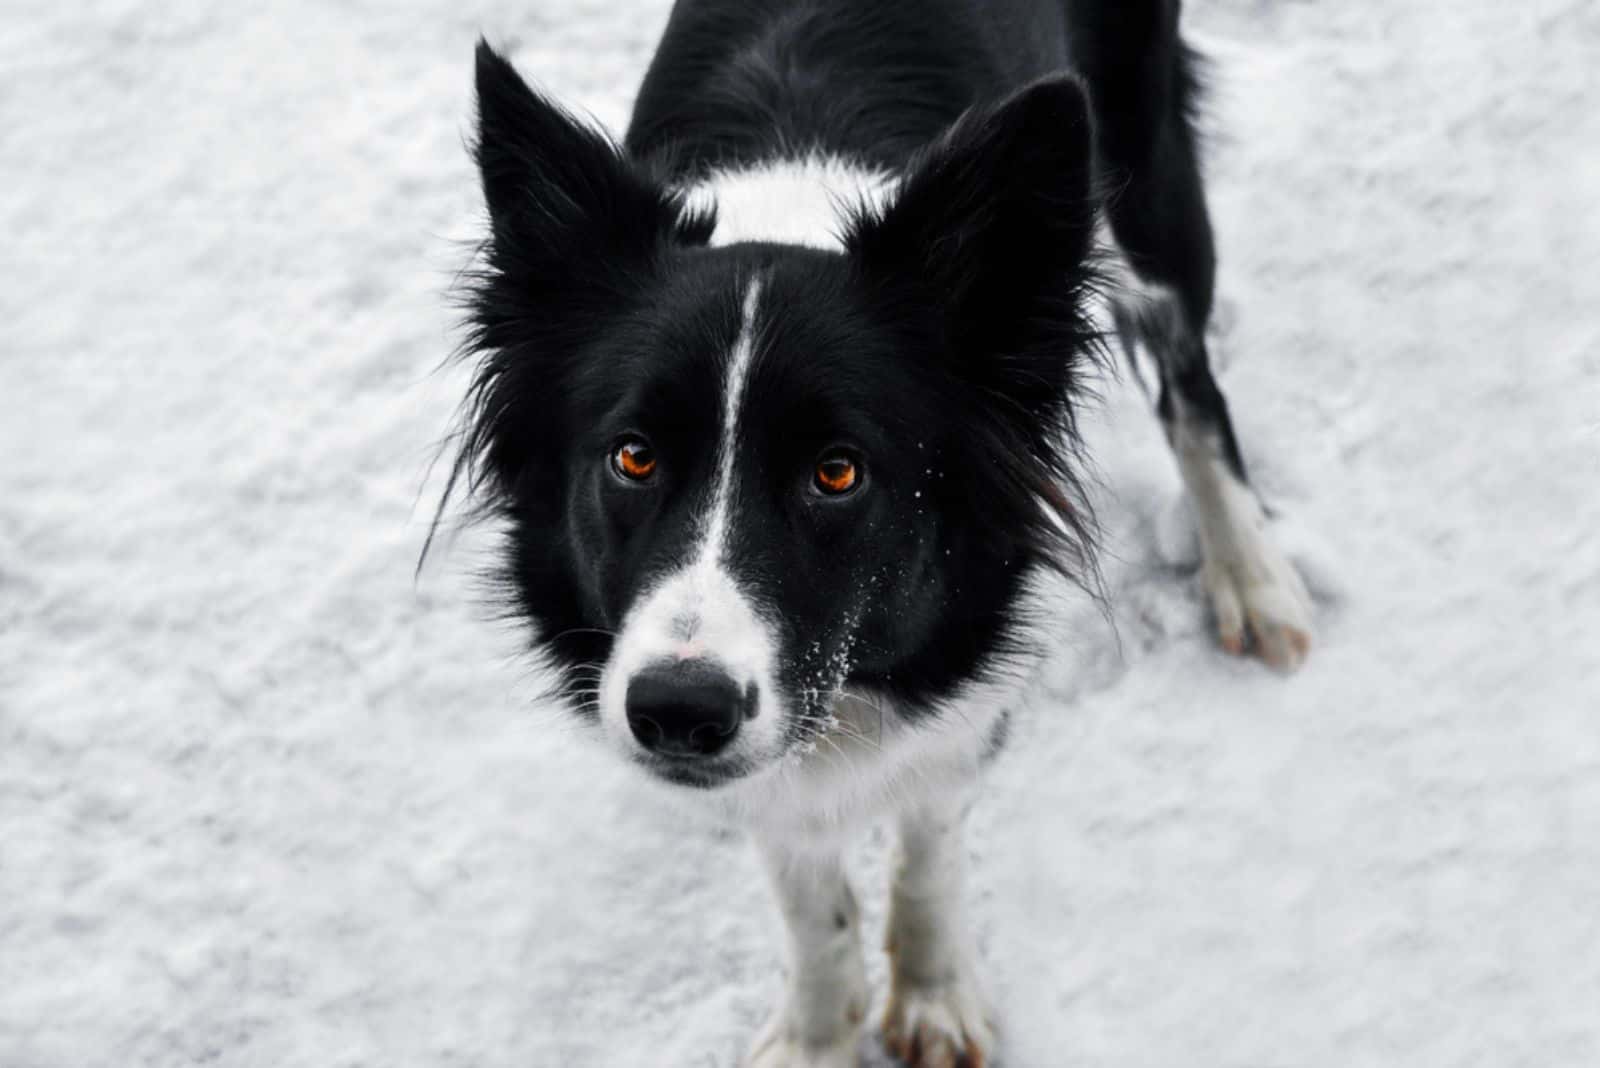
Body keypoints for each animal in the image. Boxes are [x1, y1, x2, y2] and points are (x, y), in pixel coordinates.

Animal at [451, 4, 1312, 1061]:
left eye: (838, 472)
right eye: (633, 457)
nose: (679, 712)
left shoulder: (965, 657)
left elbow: (929, 837)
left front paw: (934, 996)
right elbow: (804, 884)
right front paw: (822, 1030)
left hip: (1144, 172)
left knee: (1190, 379)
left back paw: (1251, 574)